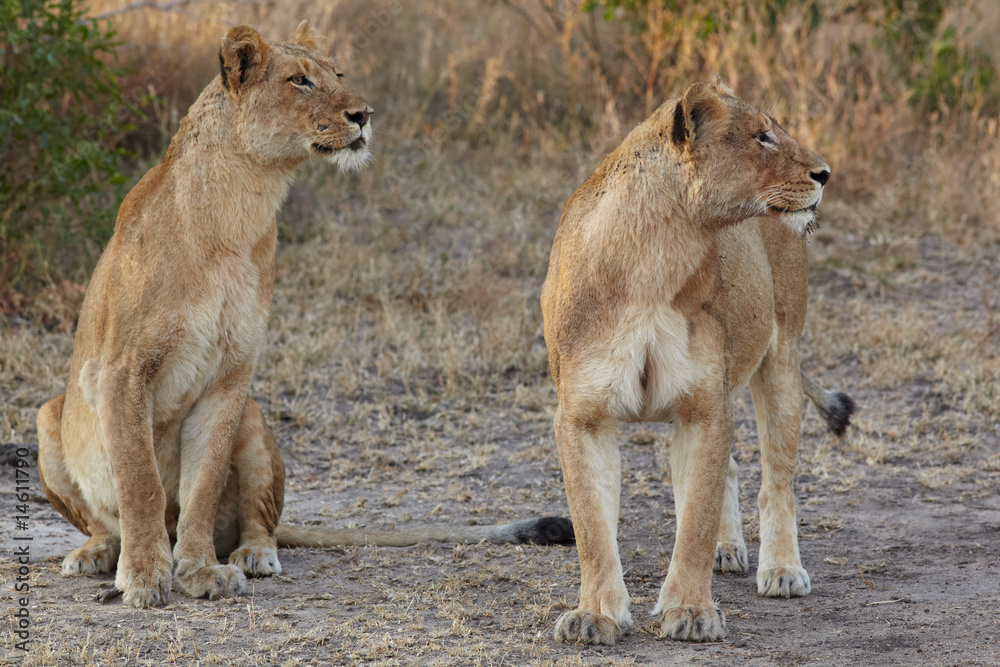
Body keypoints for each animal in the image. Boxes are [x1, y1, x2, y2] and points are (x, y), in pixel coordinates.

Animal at [37, 22, 572, 609]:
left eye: (338, 74)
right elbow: (141, 482)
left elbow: (201, 485)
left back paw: (250, 555)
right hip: (48, 415)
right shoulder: (122, 371)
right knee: (104, 518)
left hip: (251, 416)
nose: (364, 114)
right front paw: (145, 575)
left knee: (260, 519)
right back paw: (96, 554)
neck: (239, 211)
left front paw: (199, 570)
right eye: (300, 81)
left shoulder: (231, 376)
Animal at [540, 77, 855, 645]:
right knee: (727, 469)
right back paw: (729, 551)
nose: (824, 173)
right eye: (762, 136)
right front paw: (595, 616)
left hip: (782, 358)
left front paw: (689, 611)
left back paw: (781, 569)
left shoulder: (704, 406)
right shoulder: (583, 414)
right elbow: (593, 526)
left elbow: (696, 520)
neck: (654, 258)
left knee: (776, 480)